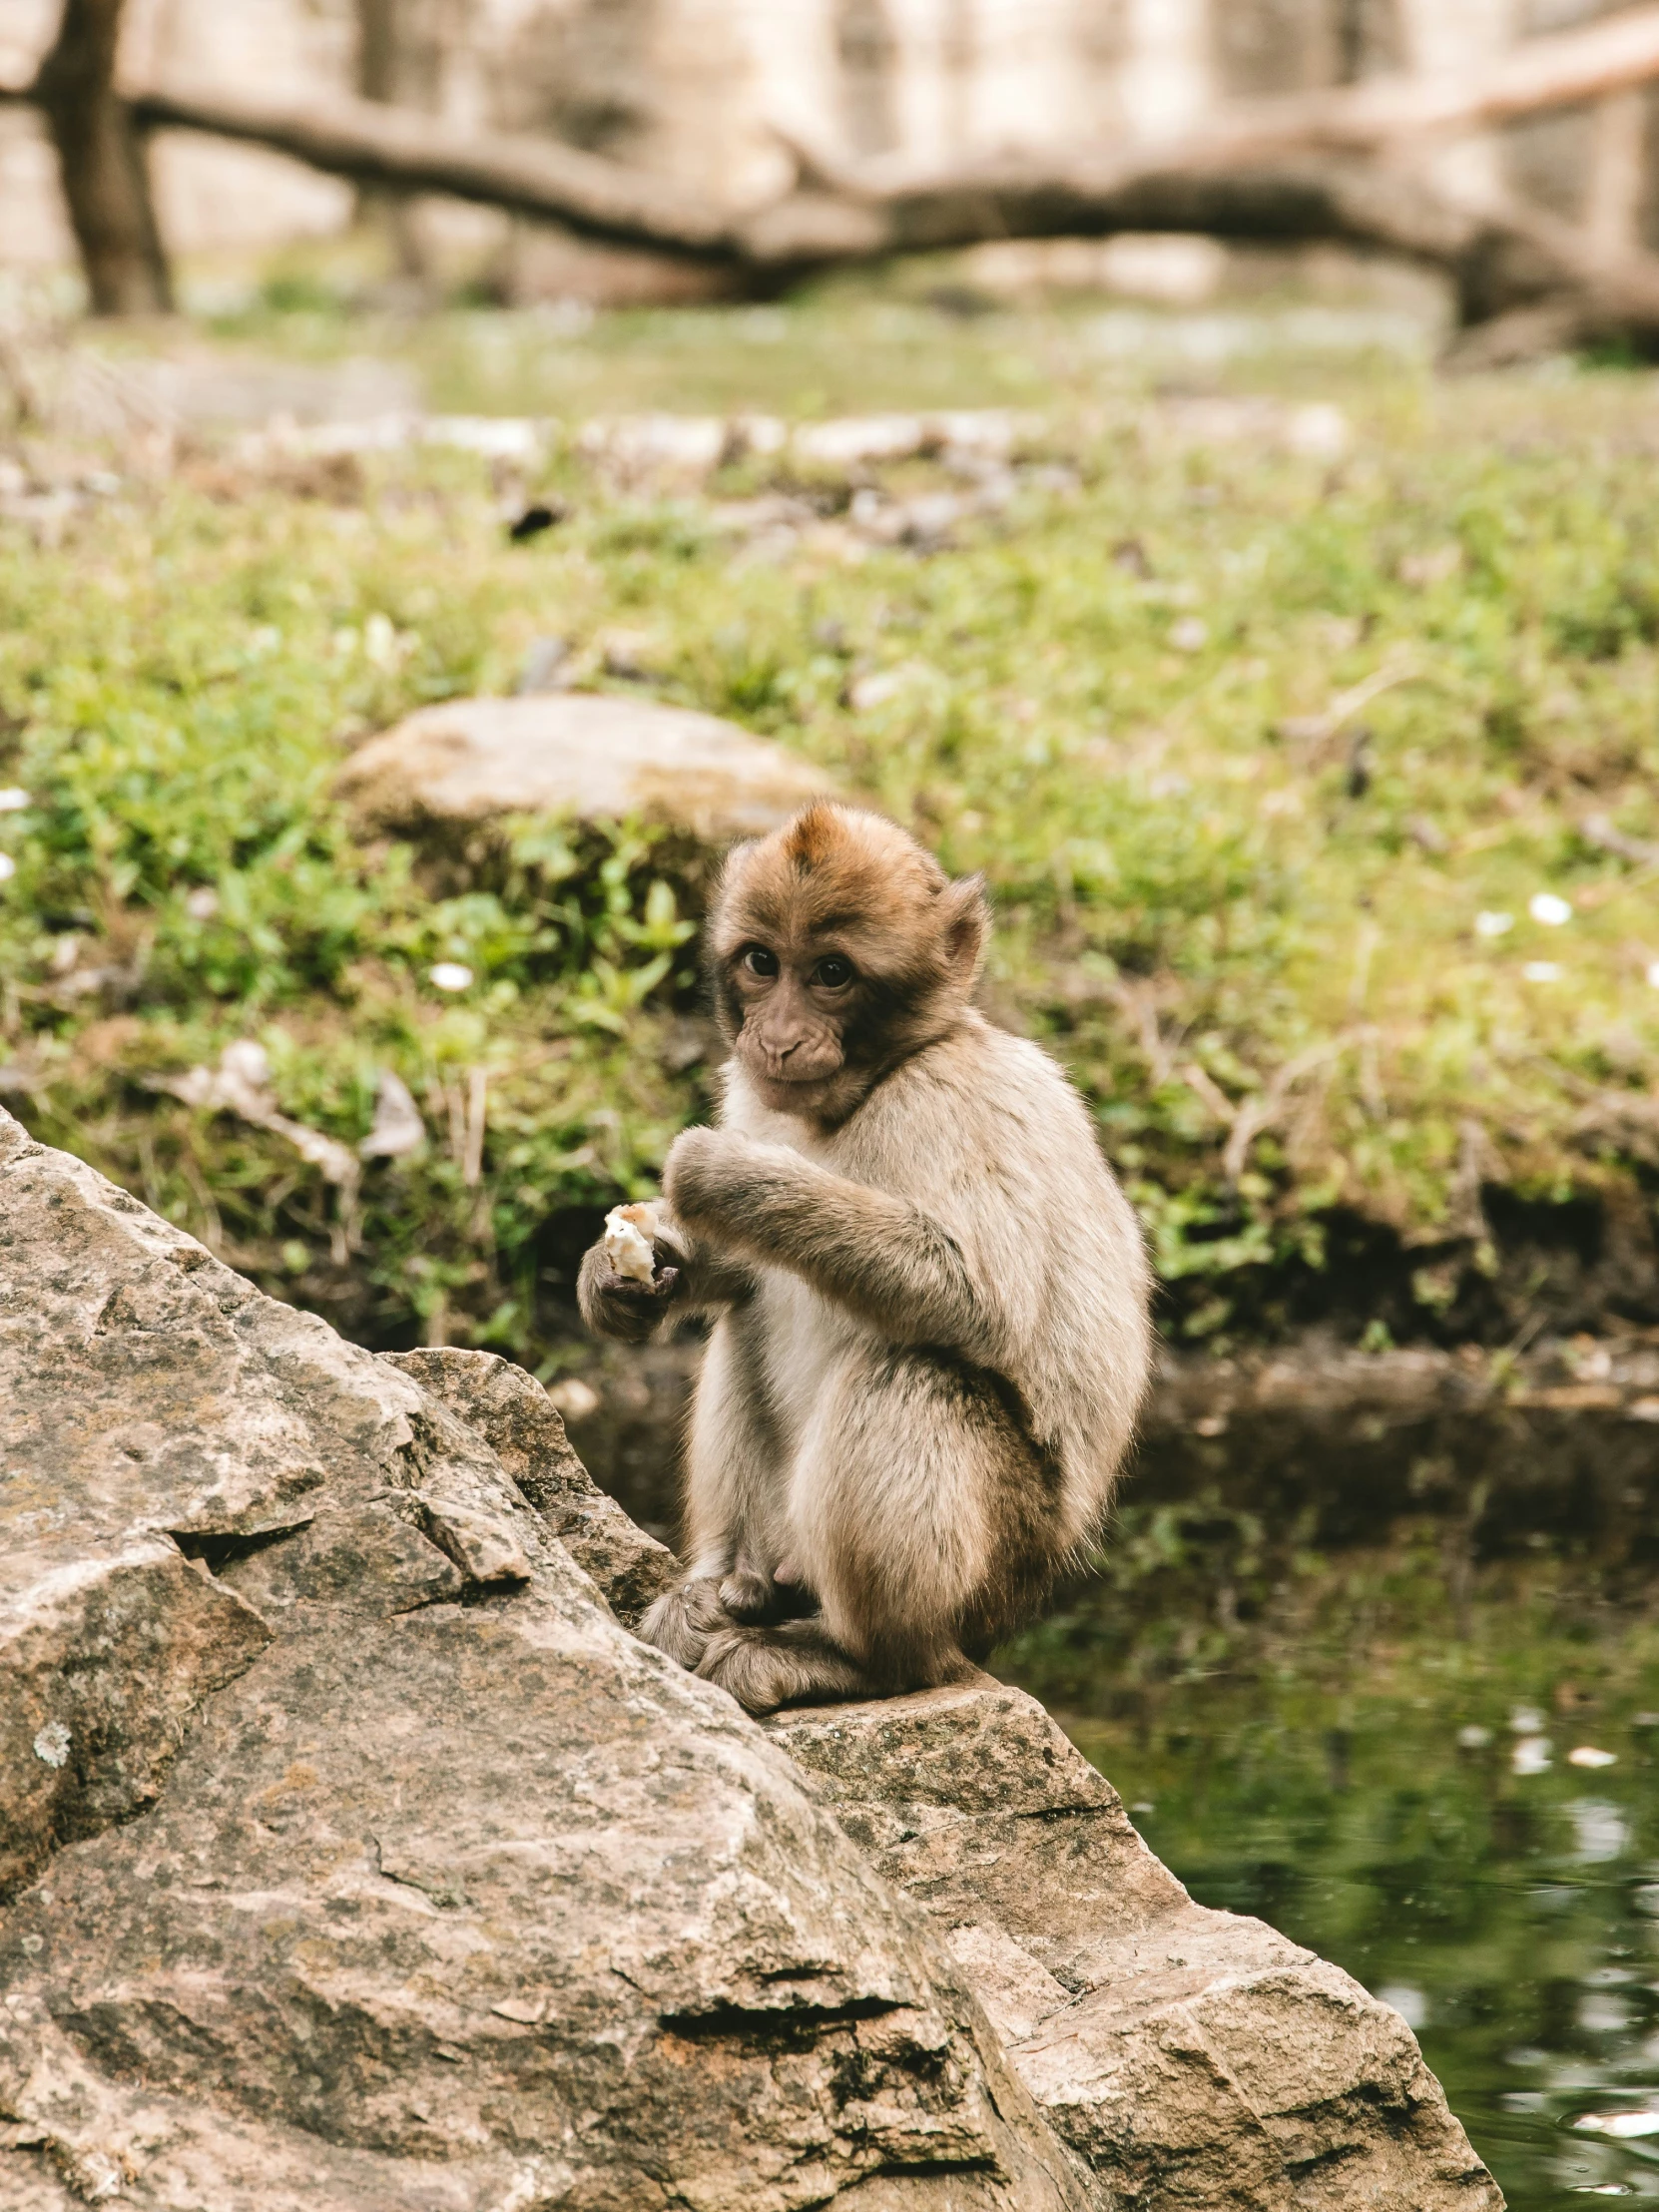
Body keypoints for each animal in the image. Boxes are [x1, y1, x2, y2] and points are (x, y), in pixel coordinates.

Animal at [584, 805, 1159, 1716]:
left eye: (832, 974)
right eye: (762, 962)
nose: (778, 1038)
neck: (874, 1083)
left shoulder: (952, 1101)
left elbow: (976, 1297)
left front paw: (726, 1176)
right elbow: (740, 1274)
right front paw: (622, 1278)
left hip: (996, 1571)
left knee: (917, 1371)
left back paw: (863, 1660)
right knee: (751, 1317)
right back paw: (733, 1590)